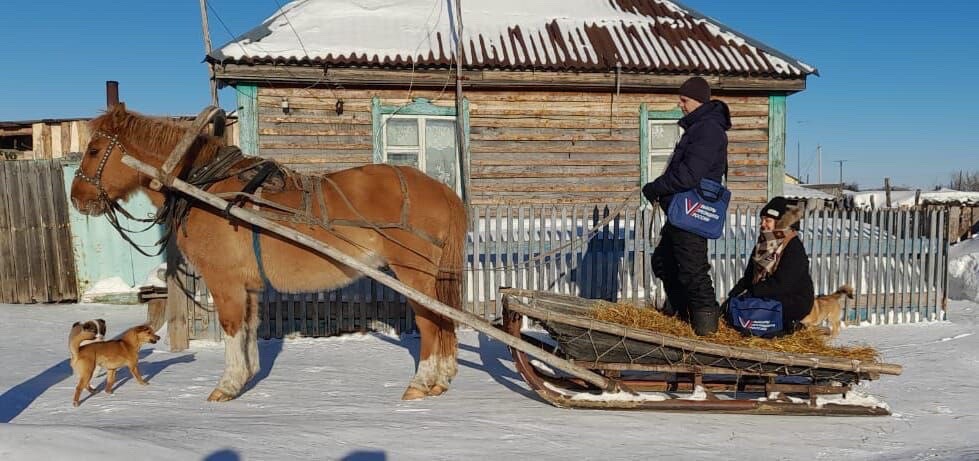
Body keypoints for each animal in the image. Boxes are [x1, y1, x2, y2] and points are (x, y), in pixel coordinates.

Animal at [69, 103, 468, 398]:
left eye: (94, 150)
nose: (77, 198)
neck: (205, 186)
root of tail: (441, 188)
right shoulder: (248, 287)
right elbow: (249, 328)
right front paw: (249, 376)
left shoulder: (225, 281)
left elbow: (232, 328)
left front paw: (228, 385)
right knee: (444, 322)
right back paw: (442, 379)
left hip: (414, 274)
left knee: (431, 323)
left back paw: (421, 384)